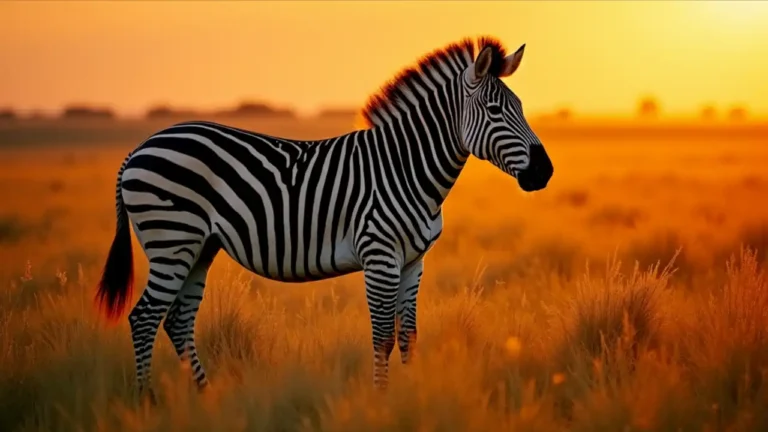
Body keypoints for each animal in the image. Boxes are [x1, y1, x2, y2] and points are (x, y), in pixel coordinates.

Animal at [95, 36, 553, 399]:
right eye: (494, 110)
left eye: (520, 107)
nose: (544, 171)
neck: (406, 167)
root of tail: (139, 149)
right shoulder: (379, 256)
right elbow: (382, 337)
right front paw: (382, 402)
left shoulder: (413, 262)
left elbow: (408, 337)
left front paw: (410, 397)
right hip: (172, 239)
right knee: (144, 318)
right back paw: (148, 402)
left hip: (198, 247)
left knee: (177, 320)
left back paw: (207, 400)